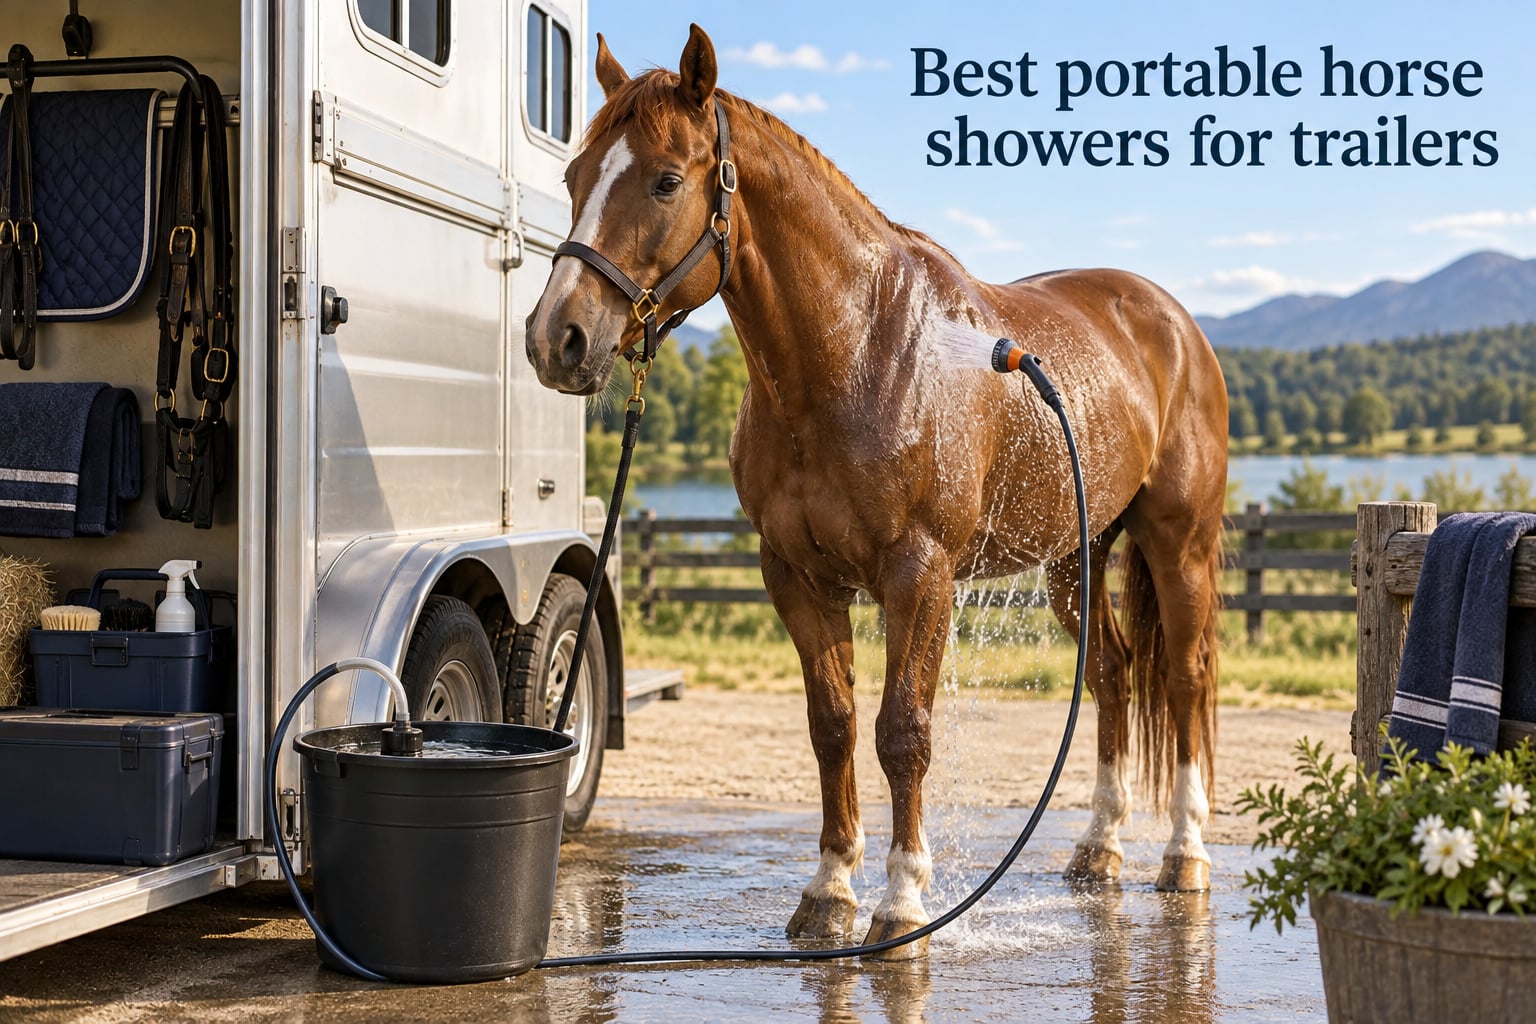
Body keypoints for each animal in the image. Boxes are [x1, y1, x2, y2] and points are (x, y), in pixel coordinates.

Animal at [525, 25, 1228, 960]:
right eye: (574, 179)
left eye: (667, 179)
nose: (556, 339)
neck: (857, 352)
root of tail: (1171, 319)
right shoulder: (795, 575)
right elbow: (833, 727)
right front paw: (828, 894)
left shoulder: (917, 575)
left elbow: (903, 733)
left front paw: (902, 902)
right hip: (1075, 557)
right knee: (1113, 674)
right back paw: (1099, 849)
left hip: (1177, 543)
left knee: (1181, 680)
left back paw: (1184, 855)